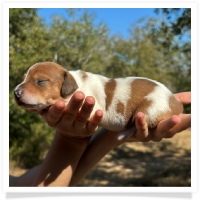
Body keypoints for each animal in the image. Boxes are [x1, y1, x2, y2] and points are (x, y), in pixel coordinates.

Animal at [13, 61, 183, 140]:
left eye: (40, 81)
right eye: (24, 78)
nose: (15, 92)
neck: (76, 85)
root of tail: (177, 104)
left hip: (149, 109)